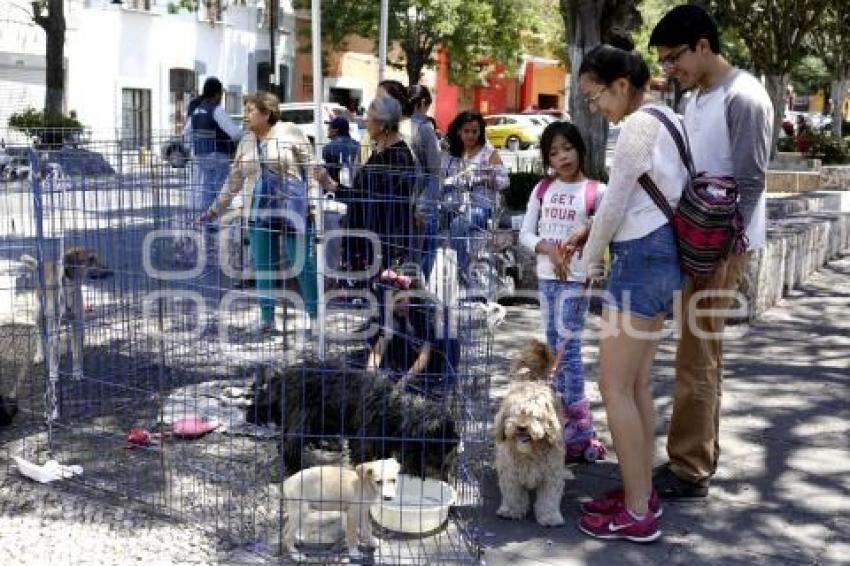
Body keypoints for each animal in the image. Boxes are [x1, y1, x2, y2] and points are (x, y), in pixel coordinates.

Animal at [20, 248, 101, 382]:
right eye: (90, 259)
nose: (108, 271)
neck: (69, 287)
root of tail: (42, 264)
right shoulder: (53, 325)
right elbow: (53, 350)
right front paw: (53, 373)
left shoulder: (76, 323)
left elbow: (77, 352)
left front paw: (78, 371)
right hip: (38, 314)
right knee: (40, 336)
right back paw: (40, 355)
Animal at [242, 360, 460, 480]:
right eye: (440, 458)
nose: (446, 479)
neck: (395, 412)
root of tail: (282, 376)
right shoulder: (365, 440)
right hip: (306, 419)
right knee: (290, 444)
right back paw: (297, 467)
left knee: (283, 442)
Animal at [490, 338, 564, 528]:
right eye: (514, 414)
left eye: (535, 417)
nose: (522, 427)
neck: (531, 451)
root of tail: (533, 379)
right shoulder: (511, 473)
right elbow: (512, 494)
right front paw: (511, 511)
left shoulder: (551, 475)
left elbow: (549, 498)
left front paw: (550, 517)